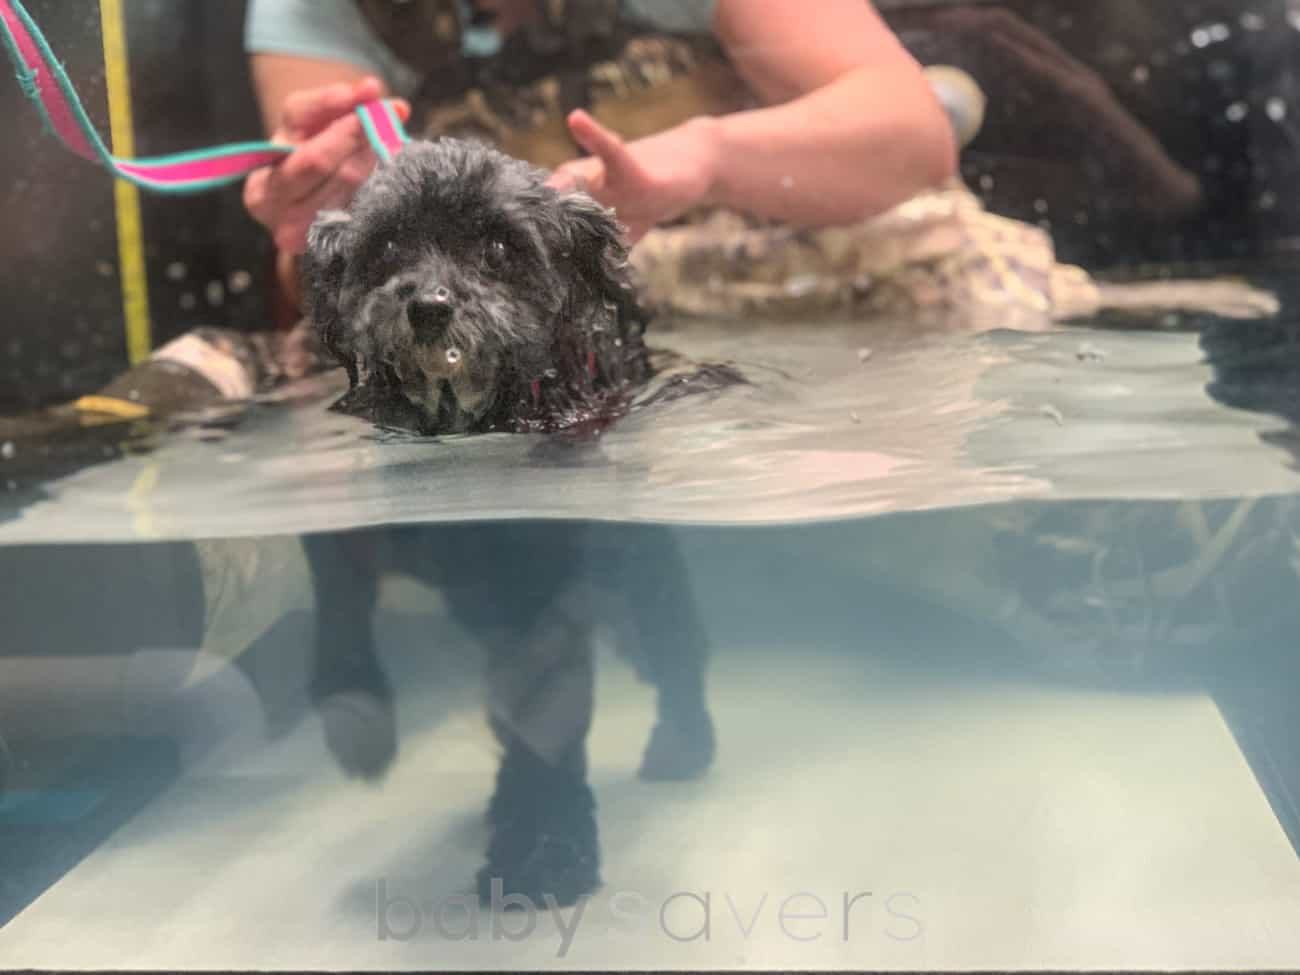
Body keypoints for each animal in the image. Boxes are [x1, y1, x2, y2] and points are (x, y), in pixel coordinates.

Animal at [301, 137, 722, 909]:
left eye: (497, 247)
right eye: (388, 247)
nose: (429, 307)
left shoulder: (540, 589)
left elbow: (547, 717)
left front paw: (547, 849)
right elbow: (339, 578)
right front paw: (356, 713)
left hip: (642, 565)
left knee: (675, 644)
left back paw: (681, 743)